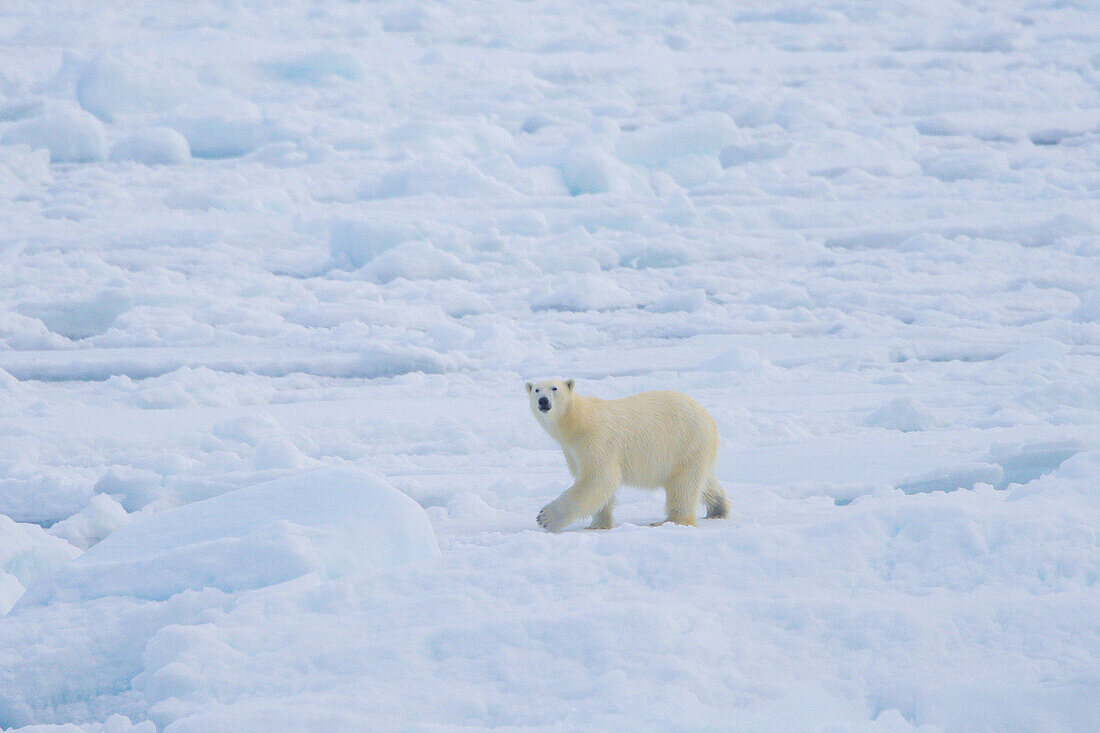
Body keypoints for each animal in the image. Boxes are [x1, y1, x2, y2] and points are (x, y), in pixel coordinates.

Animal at [525, 376, 730, 530]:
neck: (576, 421)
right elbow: (599, 487)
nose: (543, 401)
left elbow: (598, 478)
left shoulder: (596, 440)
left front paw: (545, 518)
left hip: (685, 443)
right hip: (696, 449)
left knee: (684, 485)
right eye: (536, 390)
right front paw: (597, 524)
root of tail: (709, 418)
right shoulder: (572, 451)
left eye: (554, 388)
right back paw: (718, 509)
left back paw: (671, 521)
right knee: (704, 479)